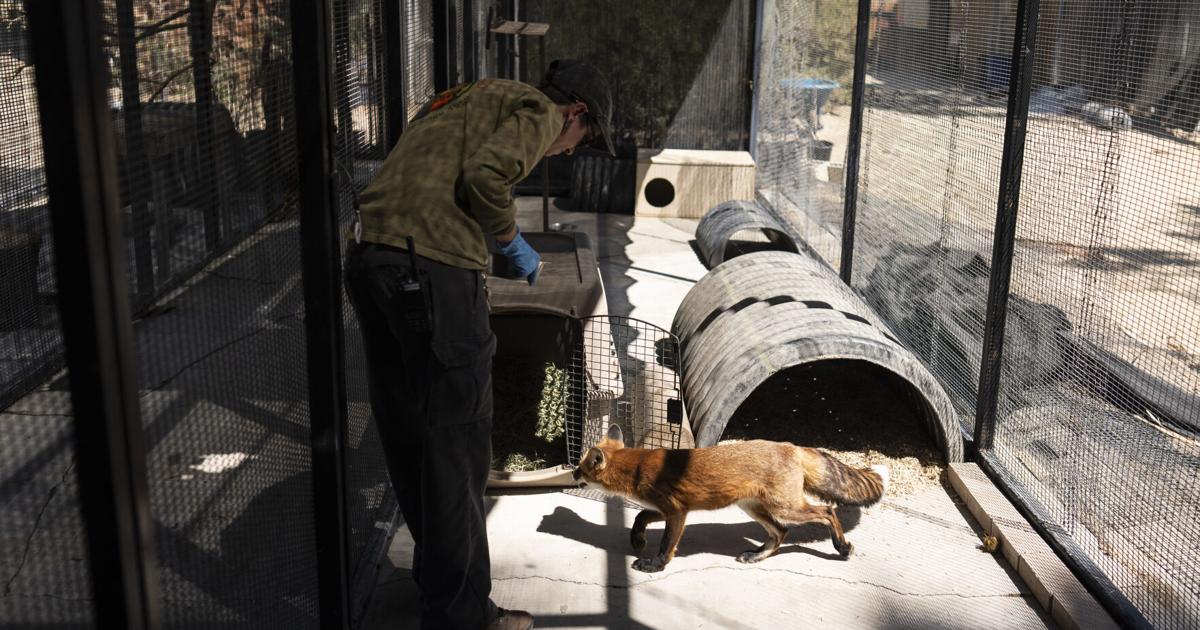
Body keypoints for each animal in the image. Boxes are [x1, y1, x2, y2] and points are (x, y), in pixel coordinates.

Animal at [571, 422, 892, 568]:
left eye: (581, 467)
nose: (572, 474)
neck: (636, 467)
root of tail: (790, 446)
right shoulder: (665, 509)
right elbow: (639, 516)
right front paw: (637, 540)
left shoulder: (676, 511)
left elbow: (666, 545)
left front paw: (654, 566)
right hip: (756, 508)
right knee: (781, 533)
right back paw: (757, 555)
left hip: (785, 508)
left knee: (827, 512)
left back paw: (842, 547)